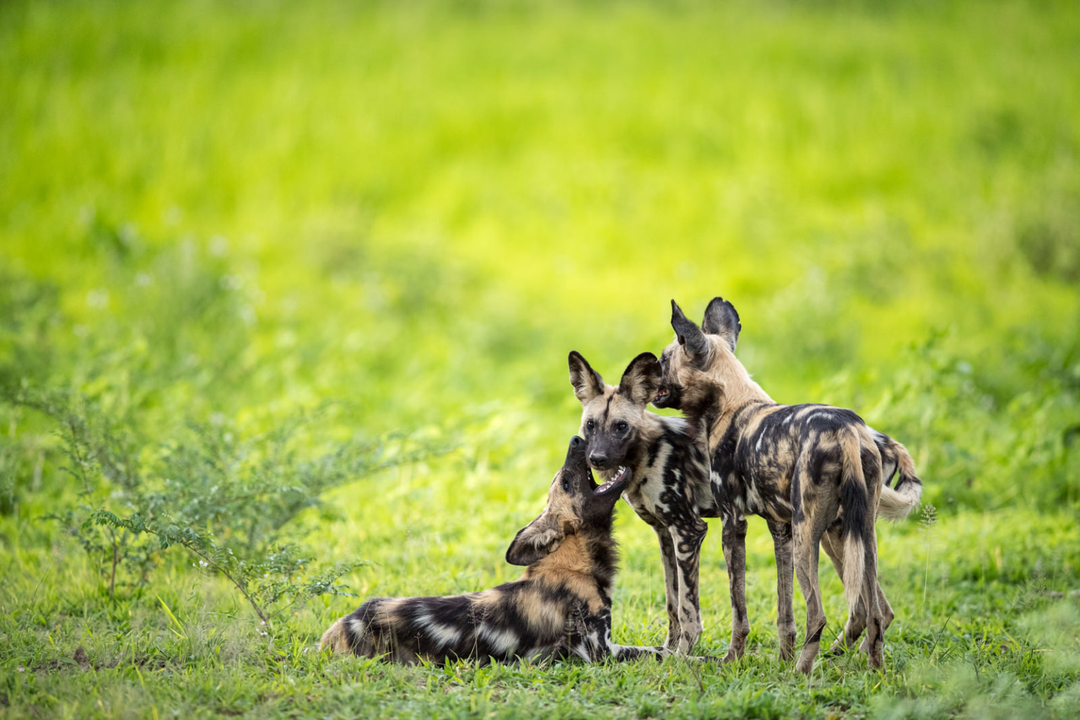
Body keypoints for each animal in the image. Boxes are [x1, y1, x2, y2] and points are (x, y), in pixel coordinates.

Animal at [317, 436, 673, 669]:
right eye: (567, 483)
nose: (576, 438)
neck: (575, 568)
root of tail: (344, 625)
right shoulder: (600, 652)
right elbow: (664, 652)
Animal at [565, 351, 717, 656]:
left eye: (621, 426)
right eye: (590, 424)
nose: (597, 459)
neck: (644, 454)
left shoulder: (688, 530)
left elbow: (687, 611)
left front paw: (682, 659)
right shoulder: (666, 534)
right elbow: (672, 603)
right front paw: (667, 653)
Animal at [652, 295, 924, 673]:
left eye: (663, 360)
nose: (647, 368)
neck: (730, 404)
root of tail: (848, 428)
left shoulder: (732, 526)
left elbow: (739, 613)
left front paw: (733, 658)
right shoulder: (779, 529)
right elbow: (785, 613)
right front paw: (782, 657)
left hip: (810, 536)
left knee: (820, 614)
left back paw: (800, 673)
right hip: (856, 535)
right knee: (874, 613)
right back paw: (874, 670)